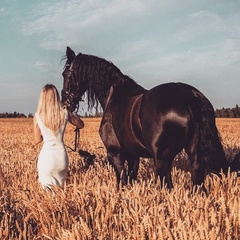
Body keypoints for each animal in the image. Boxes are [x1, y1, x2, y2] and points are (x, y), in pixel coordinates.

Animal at [62, 46, 238, 190]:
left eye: (65, 74)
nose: (65, 102)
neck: (115, 94)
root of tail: (189, 95)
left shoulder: (115, 153)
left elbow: (122, 182)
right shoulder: (133, 155)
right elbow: (131, 180)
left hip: (161, 160)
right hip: (195, 156)